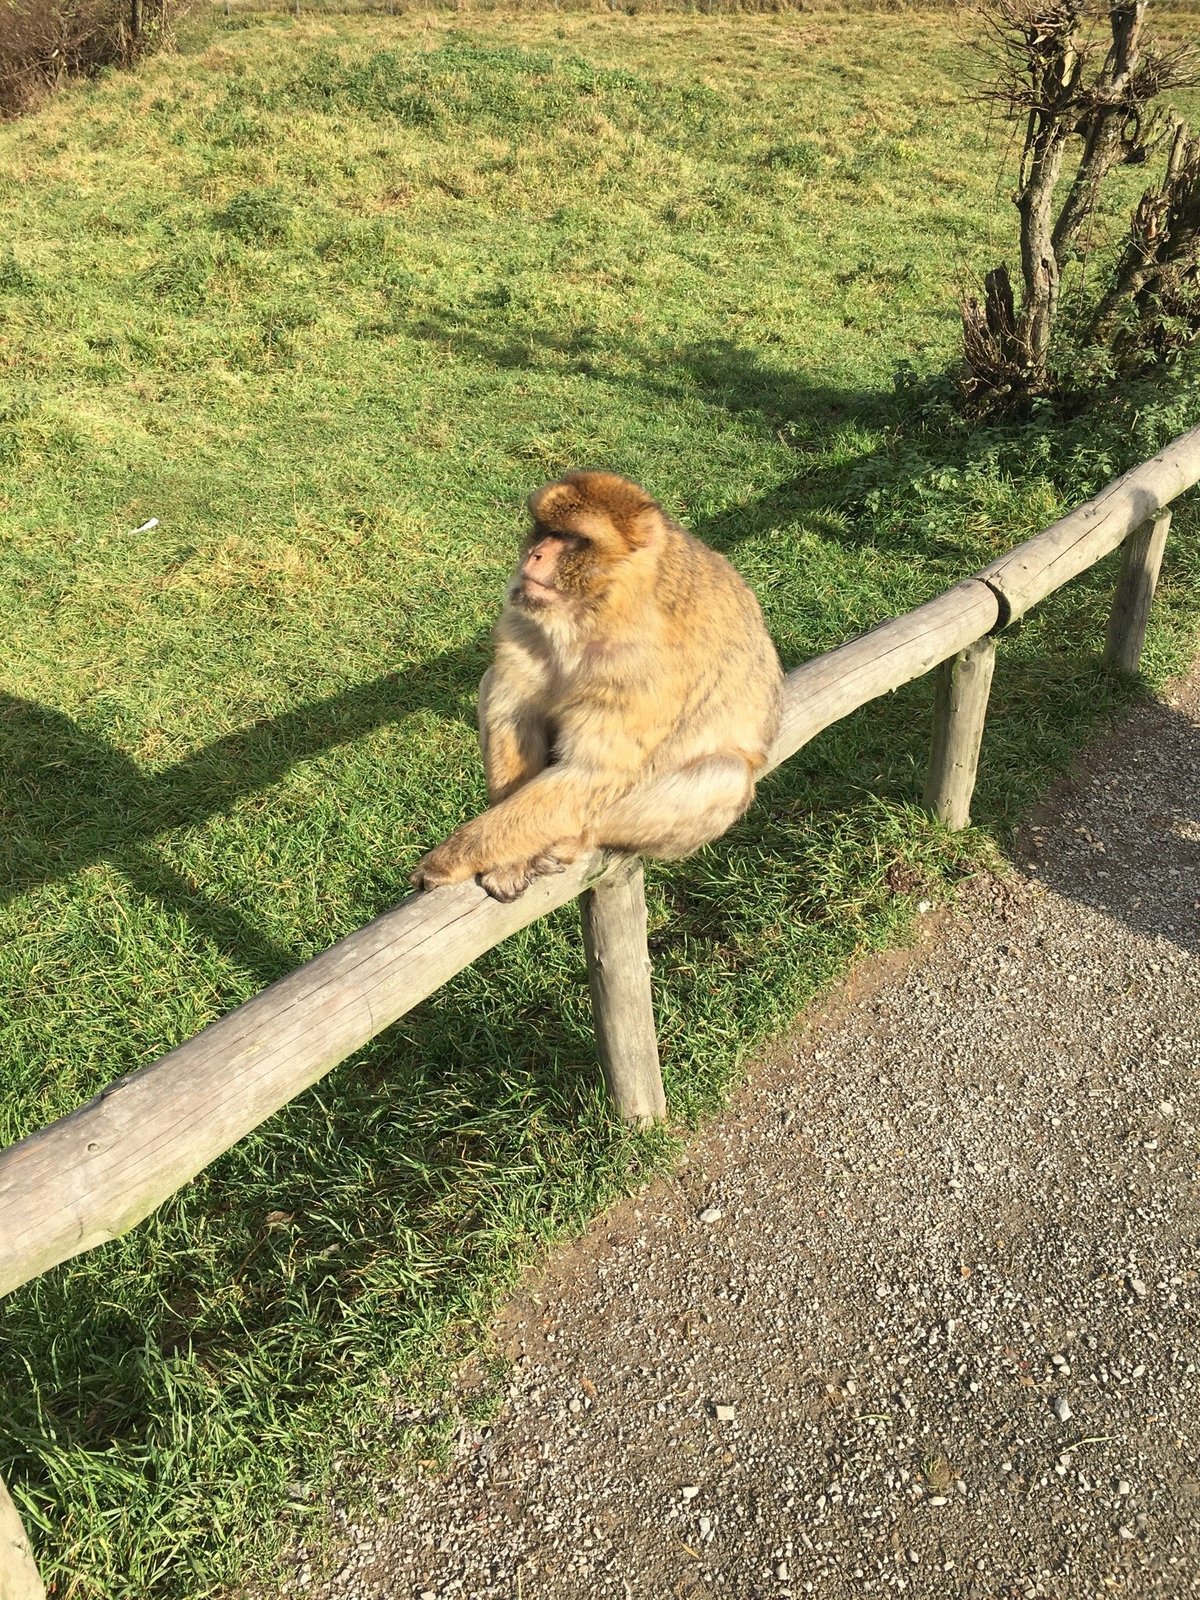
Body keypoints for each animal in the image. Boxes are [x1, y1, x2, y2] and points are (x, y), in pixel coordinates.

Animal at [412, 467, 790, 908]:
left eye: (571, 538)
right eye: (544, 529)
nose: (534, 554)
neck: (596, 615)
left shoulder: (643, 669)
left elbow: (592, 771)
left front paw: (451, 857)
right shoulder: (524, 621)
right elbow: (514, 715)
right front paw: (506, 863)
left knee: (724, 776)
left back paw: (577, 840)